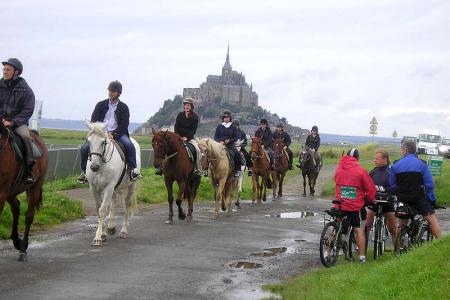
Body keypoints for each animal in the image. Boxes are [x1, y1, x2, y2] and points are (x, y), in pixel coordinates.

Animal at [0, 123, 48, 260]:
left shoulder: (1, 193)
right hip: (12, 191)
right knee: (16, 207)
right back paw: (17, 241)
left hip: (35, 187)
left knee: (29, 215)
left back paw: (23, 249)